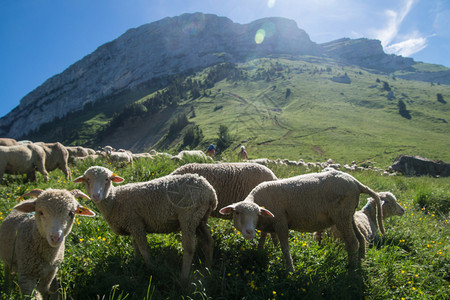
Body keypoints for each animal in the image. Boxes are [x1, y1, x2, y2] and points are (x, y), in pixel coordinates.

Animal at [74, 165, 219, 280]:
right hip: (200, 219)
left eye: (107, 179)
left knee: (189, 249)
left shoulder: (136, 223)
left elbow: (144, 248)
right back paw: (208, 268)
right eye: (87, 180)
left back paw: (183, 277)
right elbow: (135, 246)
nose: (96, 196)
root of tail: (211, 192)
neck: (114, 200)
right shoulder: (132, 225)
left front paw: (151, 268)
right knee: (209, 242)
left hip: (188, 216)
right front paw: (136, 263)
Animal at [219, 169, 384, 272]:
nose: (249, 232)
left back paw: (352, 270)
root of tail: (356, 183)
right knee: (360, 238)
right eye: (237, 212)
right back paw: (361, 262)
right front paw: (260, 254)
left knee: (352, 242)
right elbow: (264, 240)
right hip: (348, 215)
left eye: (256, 213)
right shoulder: (268, 223)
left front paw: (290, 270)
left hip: (341, 215)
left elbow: (285, 248)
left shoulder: (280, 222)